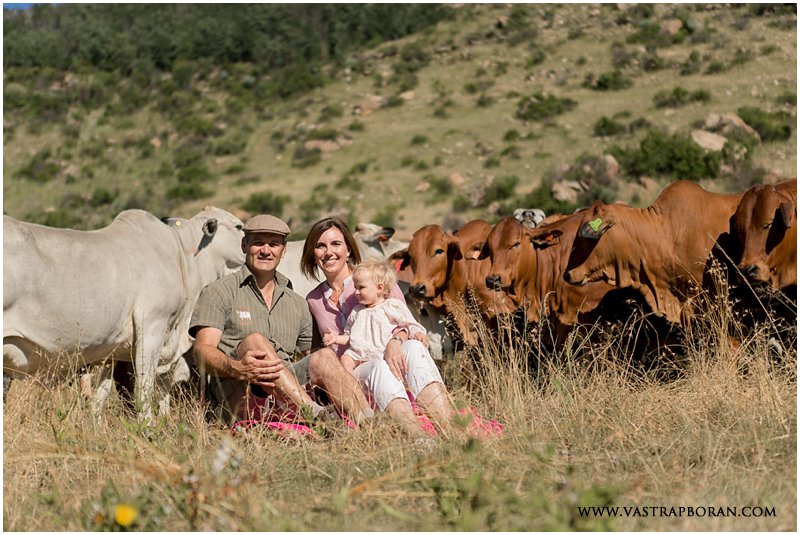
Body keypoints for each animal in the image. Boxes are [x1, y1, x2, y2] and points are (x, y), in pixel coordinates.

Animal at [3, 206, 245, 419]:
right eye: (239, 226)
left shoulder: (108, 350)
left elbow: (100, 397)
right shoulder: (153, 328)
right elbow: (144, 389)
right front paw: (148, 427)